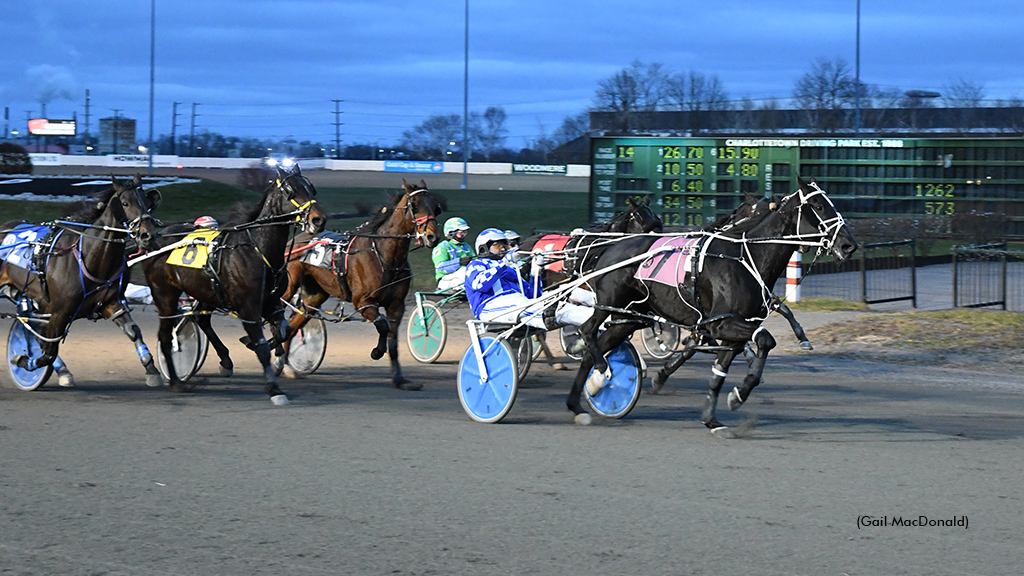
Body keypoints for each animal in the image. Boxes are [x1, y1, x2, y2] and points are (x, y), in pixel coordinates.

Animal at [0, 174, 161, 385]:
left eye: (148, 205)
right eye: (125, 203)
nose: (148, 235)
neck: (92, 257)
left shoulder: (112, 303)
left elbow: (133, 331)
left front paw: (152, 370)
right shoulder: (59, 312)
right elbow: (48, 351)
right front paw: (23, 360)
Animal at [142, 163, 325, 401]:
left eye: (311, 189)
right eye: (290, 190)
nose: (318, 220)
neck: (258, 250)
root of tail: (157, 239)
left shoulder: (271, 301)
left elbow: (282, 331)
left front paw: (273, 358)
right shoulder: (248, 307)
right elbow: (262, 346)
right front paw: (274, 388)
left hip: (207, 289)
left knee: (202, 319)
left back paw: (225, 362)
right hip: (165, 295)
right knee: (166, 336)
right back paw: (175, 381)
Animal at [278, 177, 446, 387]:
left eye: (436, 207)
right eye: (414, 205)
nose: (432, 236)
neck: (384, 256)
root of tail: (294, 242)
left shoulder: (396, 305)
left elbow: (392, 338)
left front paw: (399, 378)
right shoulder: (363, 302)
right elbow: (382, 324)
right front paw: (377, 351)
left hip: (313, 297)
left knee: (293, 326)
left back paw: (285, 366)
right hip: (288, 287)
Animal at [569, 177, 856, 432]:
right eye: (818, 206)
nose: (848, 245)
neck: (745, 257)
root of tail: (612, 247)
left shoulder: (729, 327)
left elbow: (720, 371)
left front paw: (714, 416)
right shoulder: (722, 324)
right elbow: (765, 340)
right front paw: (739, 393)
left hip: (630, 317)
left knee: (597, 346)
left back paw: (577, 404)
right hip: (609, 305)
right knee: (588, 332)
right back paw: (601, 372)